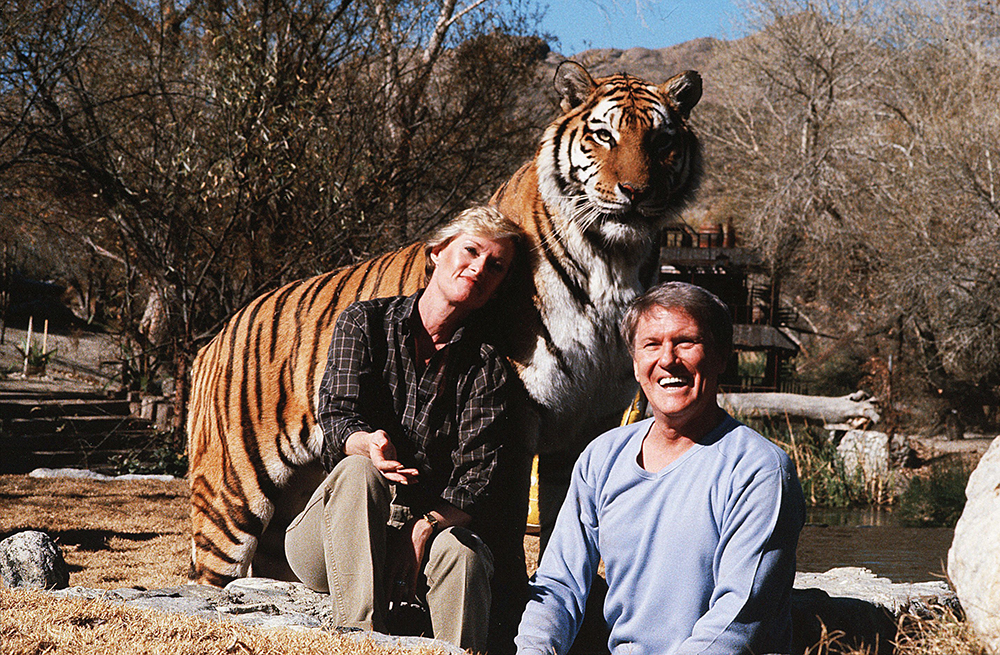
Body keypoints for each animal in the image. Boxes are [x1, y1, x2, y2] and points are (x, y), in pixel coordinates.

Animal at [189, 59, 704, 588]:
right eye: (603, 135)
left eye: (661, 141)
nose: (637, 193)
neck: (613, 261)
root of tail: (214, 340)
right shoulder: (517, 412)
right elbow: (506, 514)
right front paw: (510, 592)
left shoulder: (594, 415)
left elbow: (570, 515)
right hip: (229, 497)